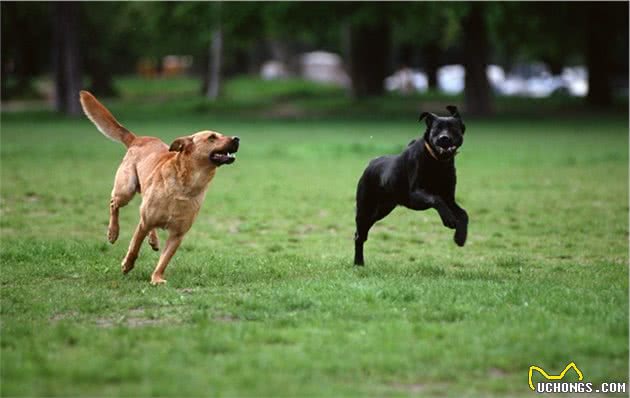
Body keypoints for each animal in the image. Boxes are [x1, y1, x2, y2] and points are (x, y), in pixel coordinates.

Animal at [356, 107, 470, 266]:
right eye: (436, 129)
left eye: (453, 128)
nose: (444, 138)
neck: (437, 162)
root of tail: (371, 163)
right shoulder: (415, 194)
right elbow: (436, 199)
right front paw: (449, 220)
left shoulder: (449, 198)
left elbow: (464, 213)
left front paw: (460, 237)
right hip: (365, 208)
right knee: (359, 235)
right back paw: (358, 262)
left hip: (381, 210)